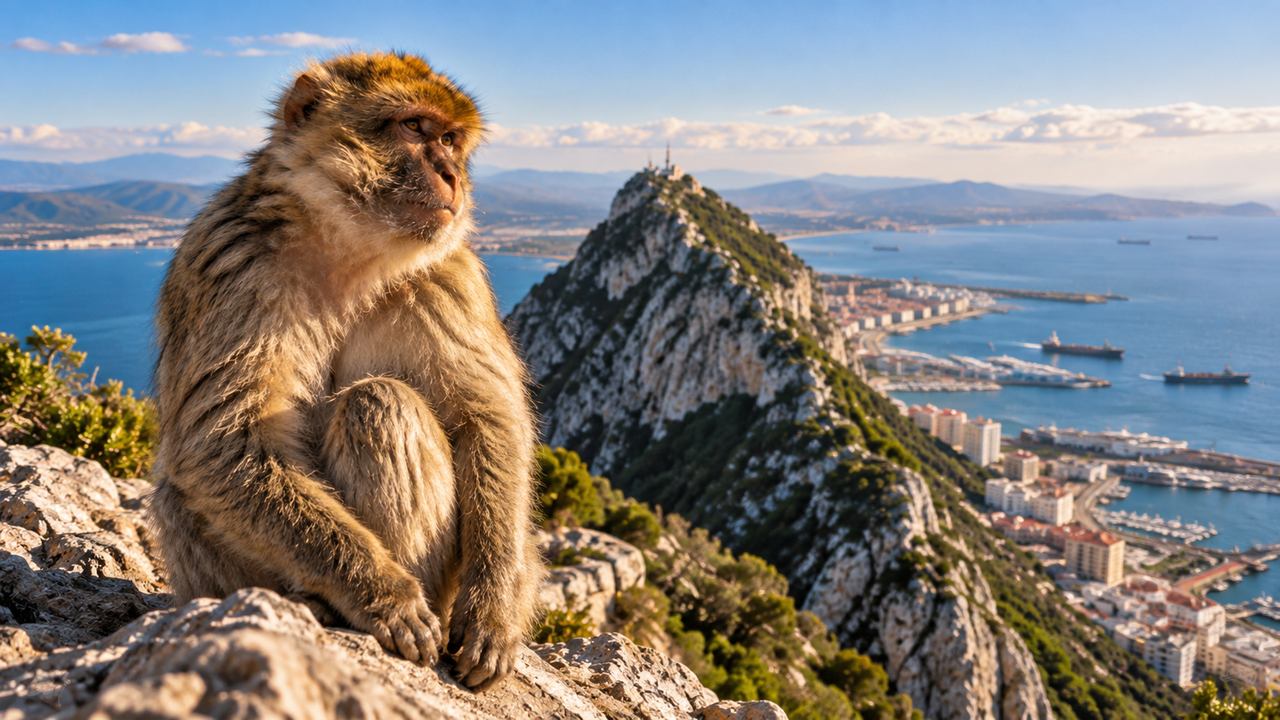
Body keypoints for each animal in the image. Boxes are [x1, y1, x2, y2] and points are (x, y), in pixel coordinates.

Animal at [146, 51, 541, 691]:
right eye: (414, 128)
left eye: (451, 141)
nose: (452, 176)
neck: (349, 250)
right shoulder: (230, 258)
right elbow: (221, 441)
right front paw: (383, 595)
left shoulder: (450, 276)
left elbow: (489, 417)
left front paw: (493, 609)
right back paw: (325, 601)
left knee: (377, 402)